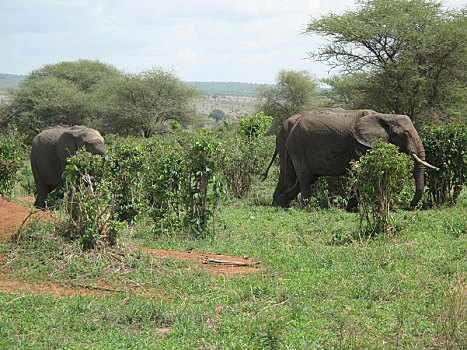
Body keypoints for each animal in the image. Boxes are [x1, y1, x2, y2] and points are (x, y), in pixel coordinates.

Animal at [266, 108, 440, 209]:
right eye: (405, 134)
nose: (410, 205)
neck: (385, 117)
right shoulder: (361, 143)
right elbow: (363, 171)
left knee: (306, 176)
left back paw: (281, 202)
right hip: (298, 146)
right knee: (304, 176)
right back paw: (303, 206)